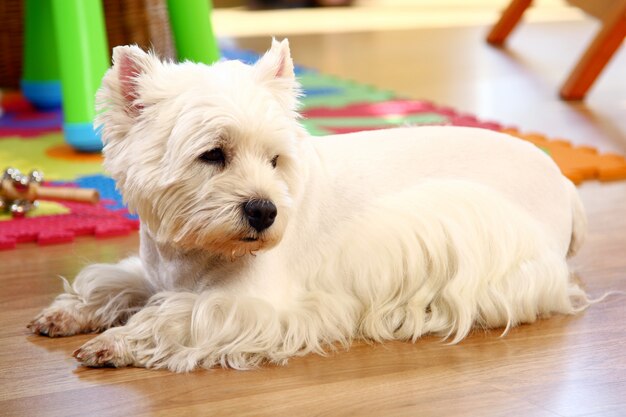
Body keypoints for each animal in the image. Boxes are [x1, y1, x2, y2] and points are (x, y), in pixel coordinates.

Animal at [26, 39, 588, 370]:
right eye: (213, 154)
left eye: (275, 159)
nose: (265, 212)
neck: (195, 254)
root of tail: (565, 182)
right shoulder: (157, 272)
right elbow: (111, 282)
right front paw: (66, 315)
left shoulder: (250, 304)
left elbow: (177, 317)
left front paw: (113, 343)